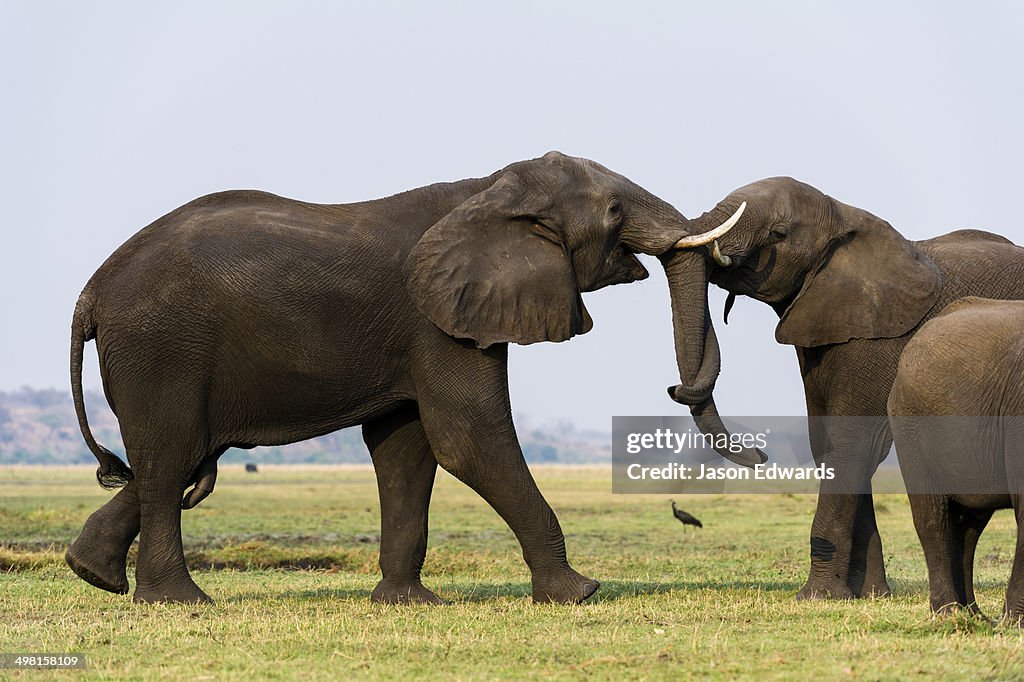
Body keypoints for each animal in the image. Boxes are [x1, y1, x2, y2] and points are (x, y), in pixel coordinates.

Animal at [68, 152, 741, 602]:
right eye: (615, 210)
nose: (677, 388)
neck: (488, 191)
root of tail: (91, 291)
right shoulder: (437, 320)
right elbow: (467, 436)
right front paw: (578, 593)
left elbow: (407, 448)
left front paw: (407, 603)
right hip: (160, 348)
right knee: (170, 454)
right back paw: (178, 602)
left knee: (180, 456)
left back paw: (91, 573)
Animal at [888, 294, 1024, 622]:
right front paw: (1015, 623)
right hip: (909, 422)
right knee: (933, 518)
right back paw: (948, 613)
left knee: (967, 527)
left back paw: (973, 616)